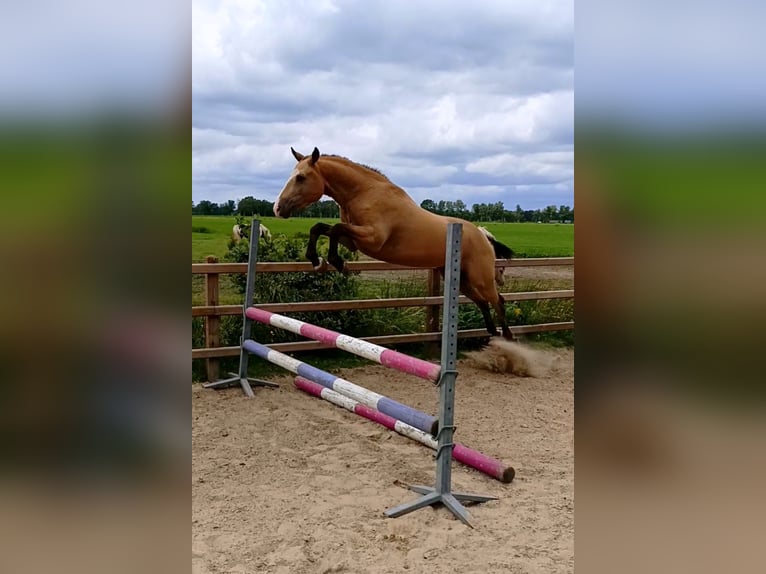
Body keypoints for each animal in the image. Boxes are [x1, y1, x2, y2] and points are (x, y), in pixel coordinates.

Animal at [273, 147, 516, 340]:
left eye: (301, 177)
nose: (277, 208)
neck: (365, 193)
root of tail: (482, 235)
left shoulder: (372, 238)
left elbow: (334, 229)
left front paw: (337, 262)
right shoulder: (353, 241)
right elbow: (321, 228)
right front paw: (317, 260)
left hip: (479, 277)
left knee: (498, 300)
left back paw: (508, 338)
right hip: (461, 278)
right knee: (483, 302)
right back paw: (493, 332)